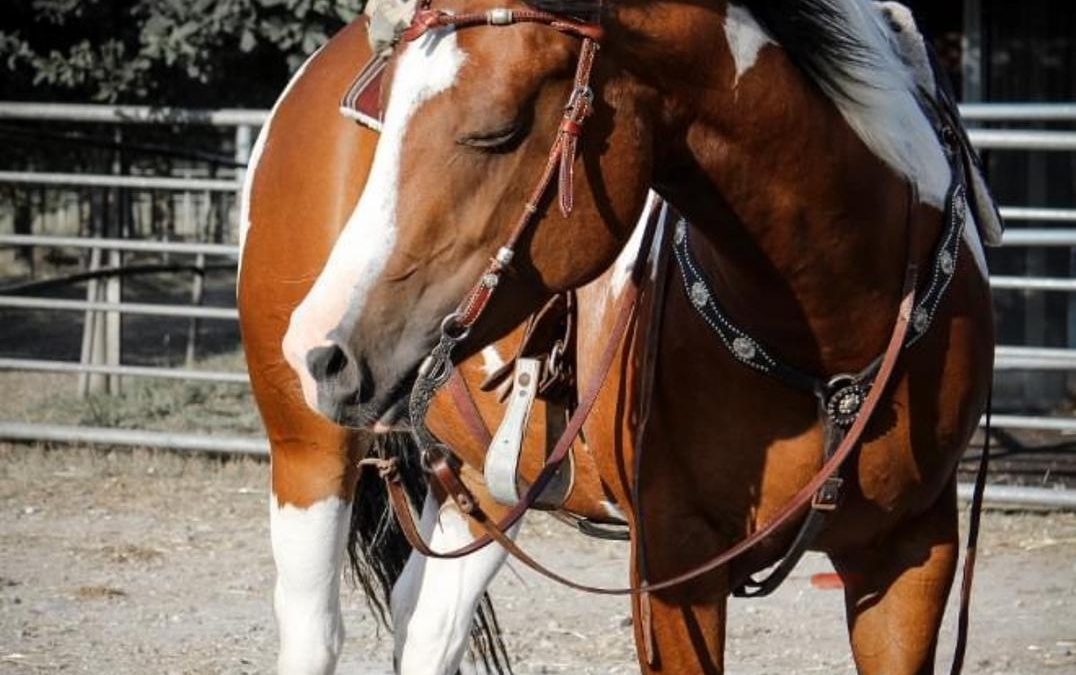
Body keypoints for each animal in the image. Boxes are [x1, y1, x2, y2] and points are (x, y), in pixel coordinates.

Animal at [256, 0, 994, 671]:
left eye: (498, 132)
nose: (319, 352)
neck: (832, 334)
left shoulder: (909, 555)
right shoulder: (672, 569)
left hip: (482, 481)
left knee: (428, 623)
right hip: (309, 453)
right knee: (315, 632)